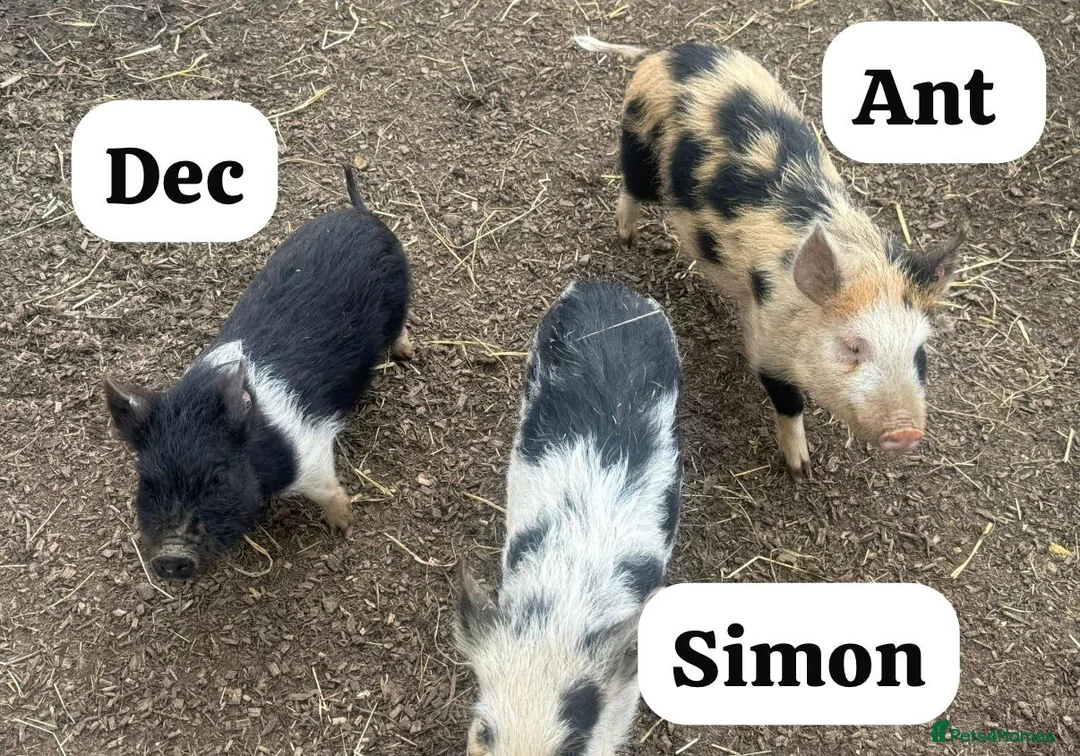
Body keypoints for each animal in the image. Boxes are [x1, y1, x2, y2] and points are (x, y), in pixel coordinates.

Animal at [104, 166, 413, 580]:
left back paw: (408, 353)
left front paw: (342, 526)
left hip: (400, 299)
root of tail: (362, 214)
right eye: (147, 481)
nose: (169, 556)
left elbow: (326, 488)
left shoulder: (311, 445)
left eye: (216, 478)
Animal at [574, 35, 965, 479]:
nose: (906, 433)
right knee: (631, 184)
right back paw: (627, 238)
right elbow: (789, 401)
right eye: (853, 347)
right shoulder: (767, 342)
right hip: (638, 137)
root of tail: (667, 52)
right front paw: (801, 470)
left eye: (919, 352)